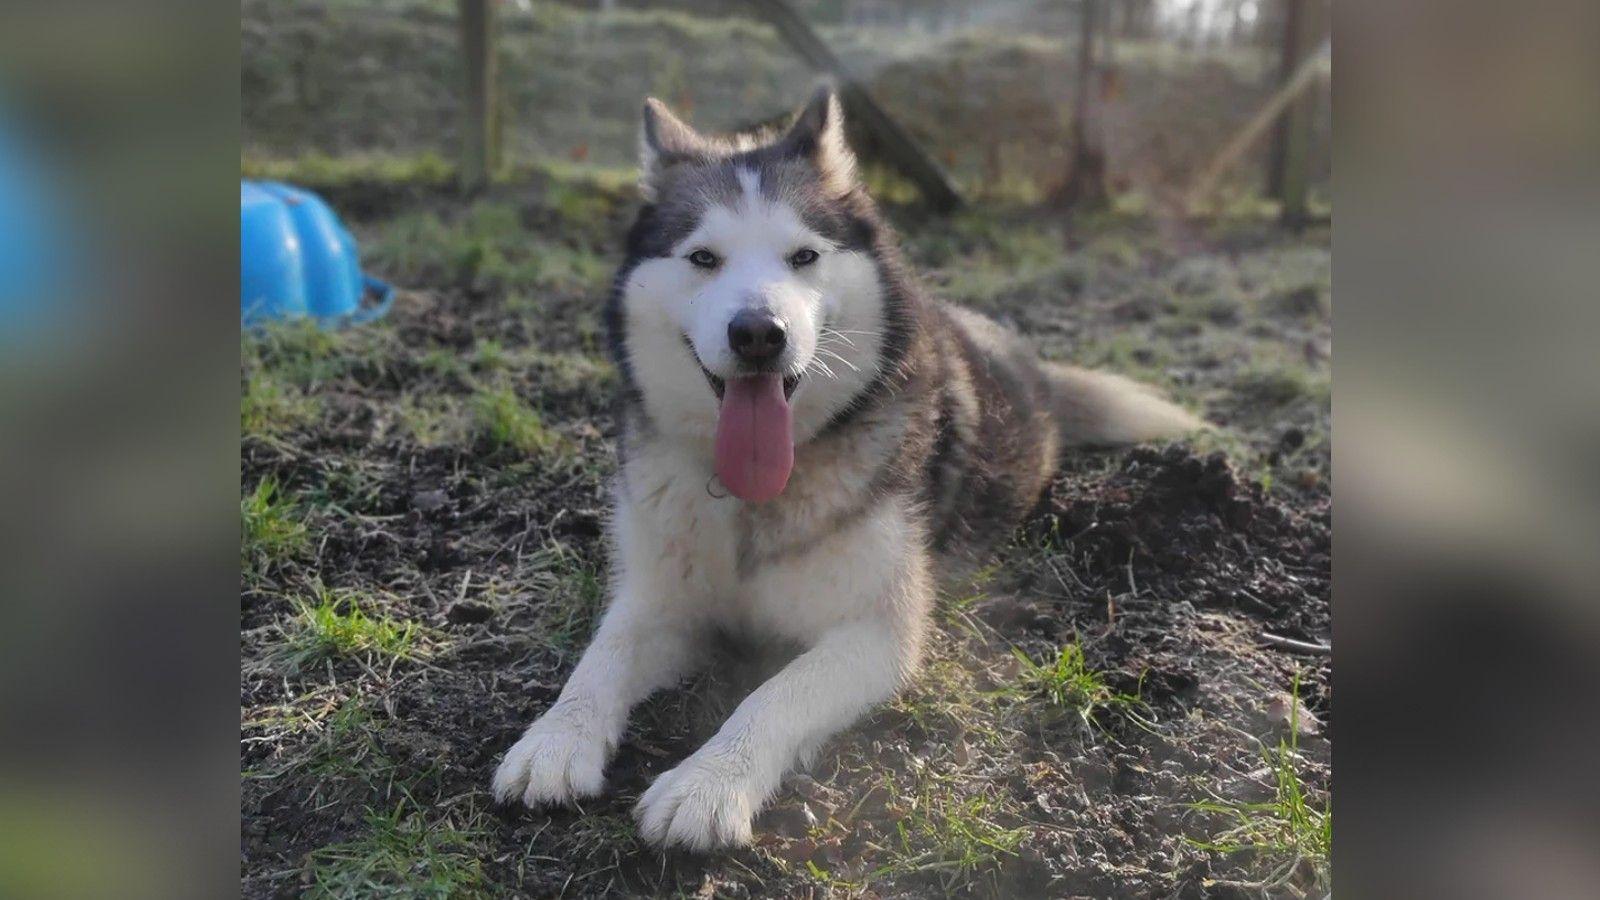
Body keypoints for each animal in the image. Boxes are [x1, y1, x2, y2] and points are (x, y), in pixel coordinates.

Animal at [489, 87, 1203, 845]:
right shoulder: (660, 594)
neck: (756, 499)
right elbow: (602, 655)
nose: (758, 333)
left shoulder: (878, 631)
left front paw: (708, 784)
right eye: (703, 257)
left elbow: (775, 694)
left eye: (803, 255)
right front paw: (554, 741)